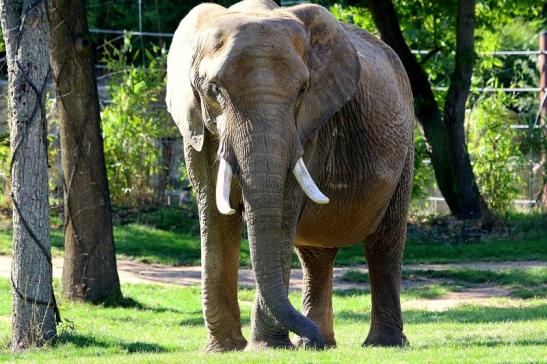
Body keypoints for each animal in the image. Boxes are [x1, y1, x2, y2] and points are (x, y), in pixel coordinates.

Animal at [167, 0, 416, 352]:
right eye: (214, 91)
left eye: (302, 90)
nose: (309, 333)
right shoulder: (197, 129)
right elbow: (214, 216)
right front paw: (225, 349)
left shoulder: (307, 126)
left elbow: (282, 212)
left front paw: (266, 348)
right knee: (315, 255)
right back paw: (318, 344)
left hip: (405, 147)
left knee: (384, 243)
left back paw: (379, 344)